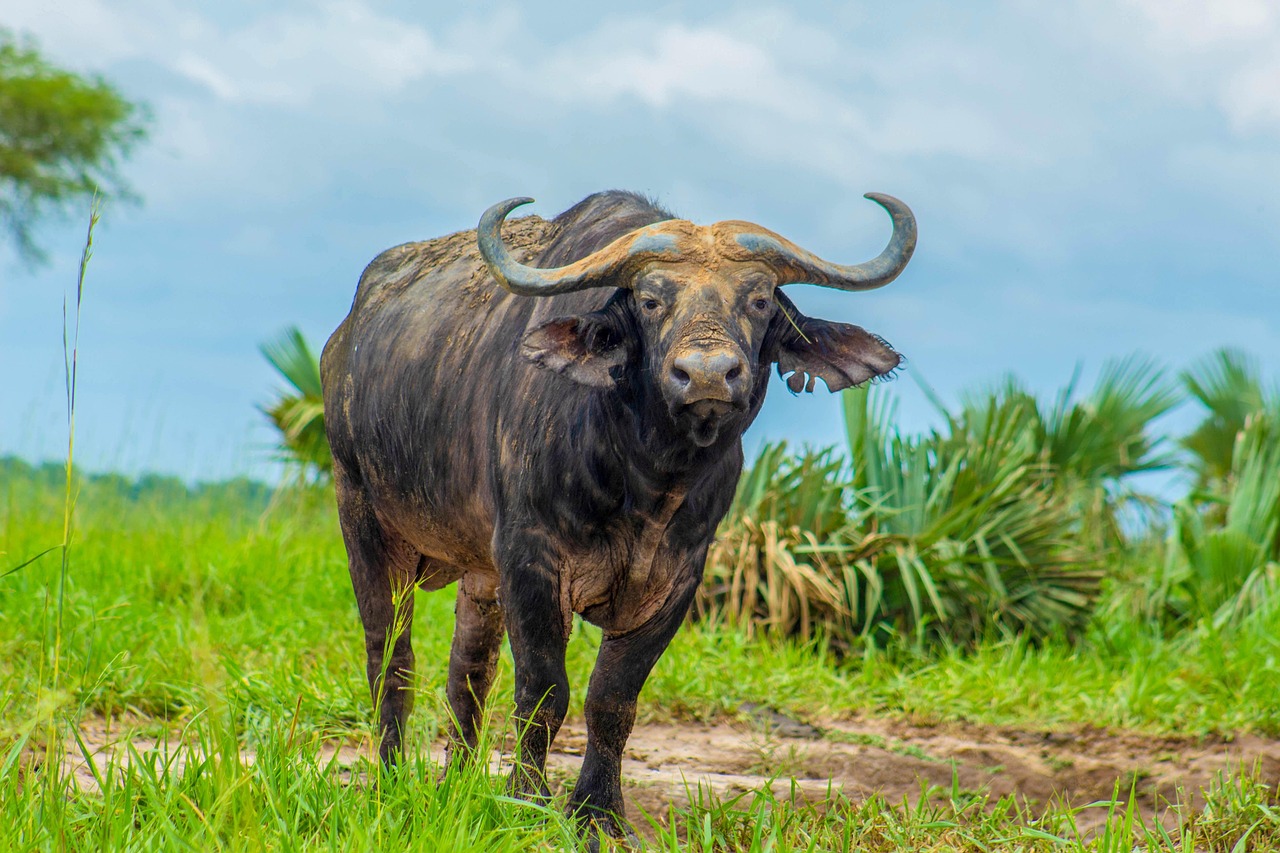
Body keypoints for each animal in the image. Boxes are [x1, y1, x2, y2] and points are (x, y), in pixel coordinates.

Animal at [320, 189, 915, 840]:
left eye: (758, 300)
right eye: (651, 300)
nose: (707, 374)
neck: (646, 481)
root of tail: (344, 339)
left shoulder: (676, 582)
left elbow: (611, 701)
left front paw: (598, 813)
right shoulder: (531, 561)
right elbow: (543, 693)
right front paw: (527, 802)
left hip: (478, 572)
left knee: (468, 672)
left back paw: (458, 782)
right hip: (364, 519)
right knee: (390, 657)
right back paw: (391, 777)